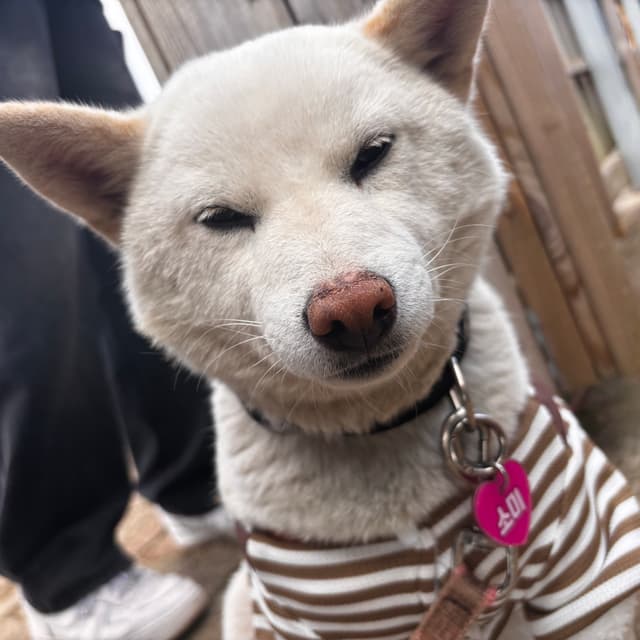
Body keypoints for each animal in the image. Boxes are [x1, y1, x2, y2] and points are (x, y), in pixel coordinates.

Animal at [1, 0, 640, 638]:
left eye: (374, 152)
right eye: (220, 218)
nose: (353, 309)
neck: (382, 429)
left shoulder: (587, 558)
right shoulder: (296, 614)